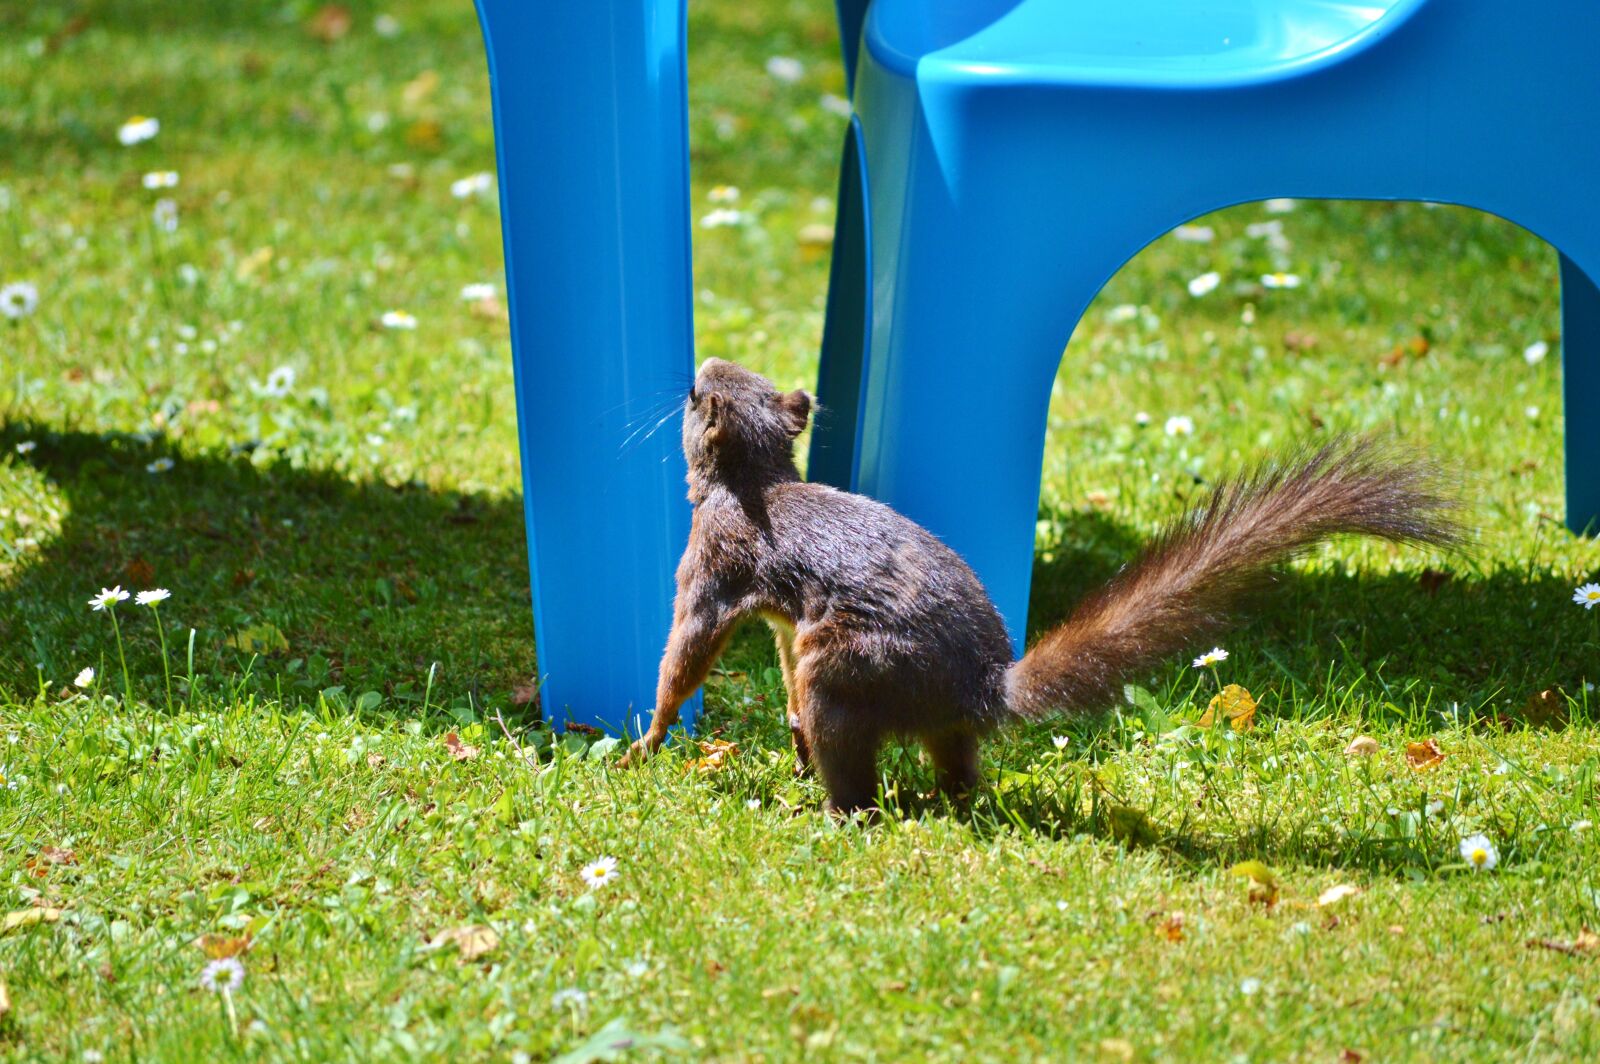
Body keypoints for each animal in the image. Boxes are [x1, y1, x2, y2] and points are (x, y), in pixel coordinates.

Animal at [624, 358, 1460, 813]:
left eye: (697, 396)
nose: (696, 367)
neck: (753, 482)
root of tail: (980, 686)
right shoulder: (778, 621)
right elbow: (781, 675)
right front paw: (785, 744)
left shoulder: (713, 568)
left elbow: (685, 656)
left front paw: (648, 741)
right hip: (908, 706)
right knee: (954, 768)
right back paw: (935, 798)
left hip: (849, 666)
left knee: (854, 772)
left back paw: (833, 811)